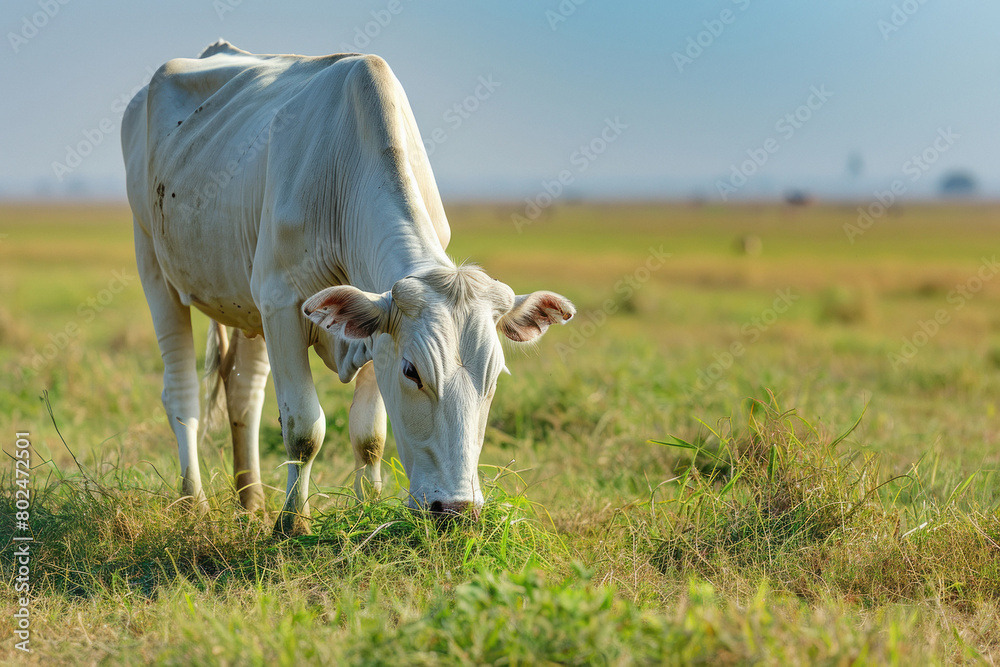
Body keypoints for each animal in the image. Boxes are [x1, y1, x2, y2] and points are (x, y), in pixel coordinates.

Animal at [121, 40, 574, 535]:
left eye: (495, 376)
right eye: (412, 372)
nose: (456, 511)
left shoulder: (369, 328)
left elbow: (369, 436)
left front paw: (365, 511)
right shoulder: (282, 304)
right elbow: (303, 428)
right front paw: (292, 524)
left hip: (247, 301)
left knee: (243, 397)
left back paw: (251, 501)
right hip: (154, 268)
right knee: (182, 393)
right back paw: (195, 503)